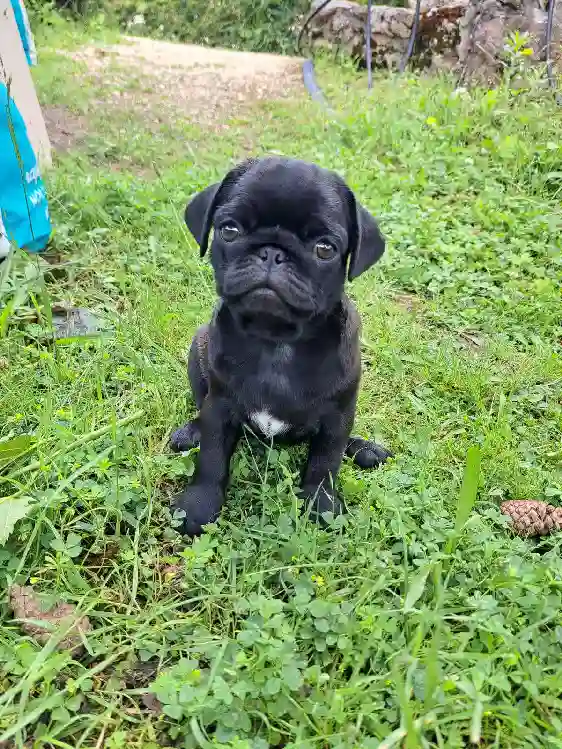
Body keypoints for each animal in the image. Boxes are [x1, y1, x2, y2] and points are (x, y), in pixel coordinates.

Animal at [171, 156, 390, 536]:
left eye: (325, 248)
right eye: (229, 230)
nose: (272, 252)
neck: (276, 340)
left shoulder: (337, 417)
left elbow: (324, 462)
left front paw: (321, 506)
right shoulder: (220, 406)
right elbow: (211, 458)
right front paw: (197, 507)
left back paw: (363, 449)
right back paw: (191, 431)